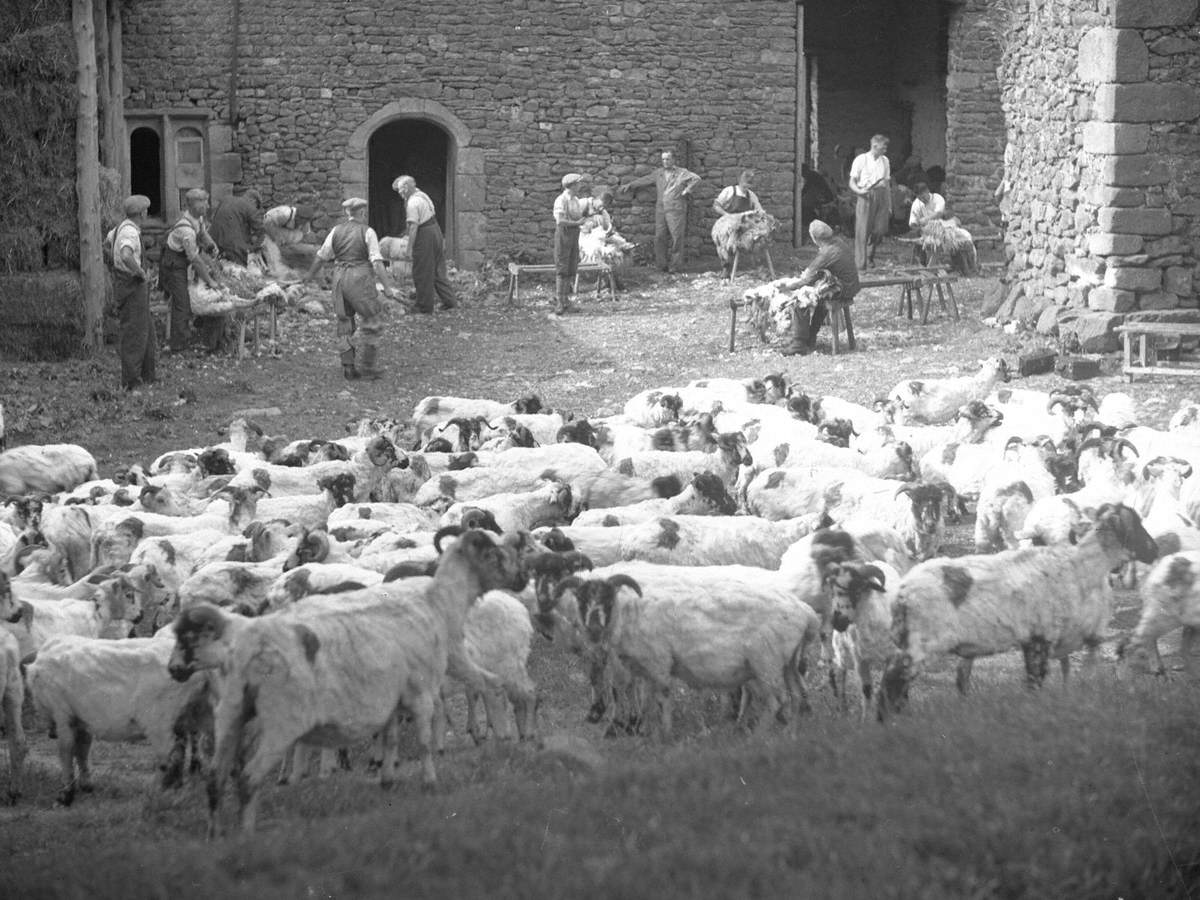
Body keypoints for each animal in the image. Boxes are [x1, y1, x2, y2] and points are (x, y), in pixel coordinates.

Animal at [25, 628, 210, 806]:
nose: (51, 734)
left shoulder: (62, 714)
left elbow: (66, 752)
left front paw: (65, 797)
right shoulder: (82, 719)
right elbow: (82, 751)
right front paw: (86, 786)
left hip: (159, 721)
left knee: (169, 756)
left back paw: (157, 792)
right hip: (185, 717)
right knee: (181, 751)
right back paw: (175, 787)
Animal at [170, 528, 530, 840]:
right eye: (493, 554)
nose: (523, 578)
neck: (437, 602)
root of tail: (246, 644)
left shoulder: (393, 697)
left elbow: (391, 739)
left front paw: (387, 780)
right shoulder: (420, 691)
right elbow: (424, 741)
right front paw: (429, 783)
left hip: (230, 714)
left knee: (215, 780)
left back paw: (215, 836)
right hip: (281, 720)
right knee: (248, 779)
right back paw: (247, 836)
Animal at [878, 504, 1156, 715]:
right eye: (1137, 525)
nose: (1155, 550)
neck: (1082, 566)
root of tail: (901, 592)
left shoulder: (1033, 640)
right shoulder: (1040, 638)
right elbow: (1035, 682)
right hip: (922, 643)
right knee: (893, 680)